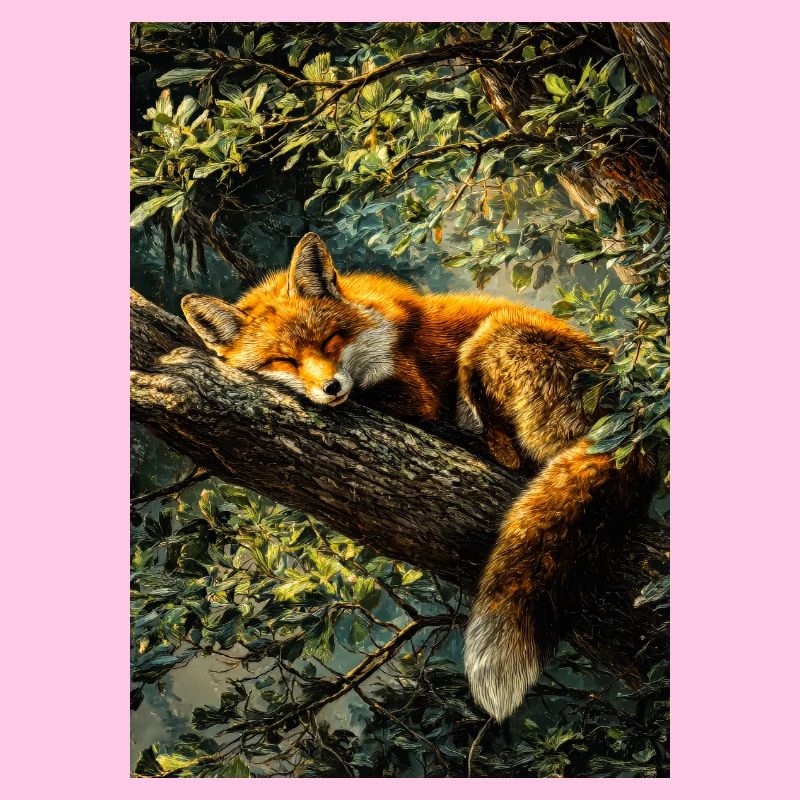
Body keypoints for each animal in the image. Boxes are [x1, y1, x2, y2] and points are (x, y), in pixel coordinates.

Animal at [182, 232, 651, 722]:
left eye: (330, 340)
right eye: (283, 359)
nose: (331, 388)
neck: (375, 330)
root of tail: (631, 422)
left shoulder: (414, 393)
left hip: (492, 337)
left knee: (514, 457)